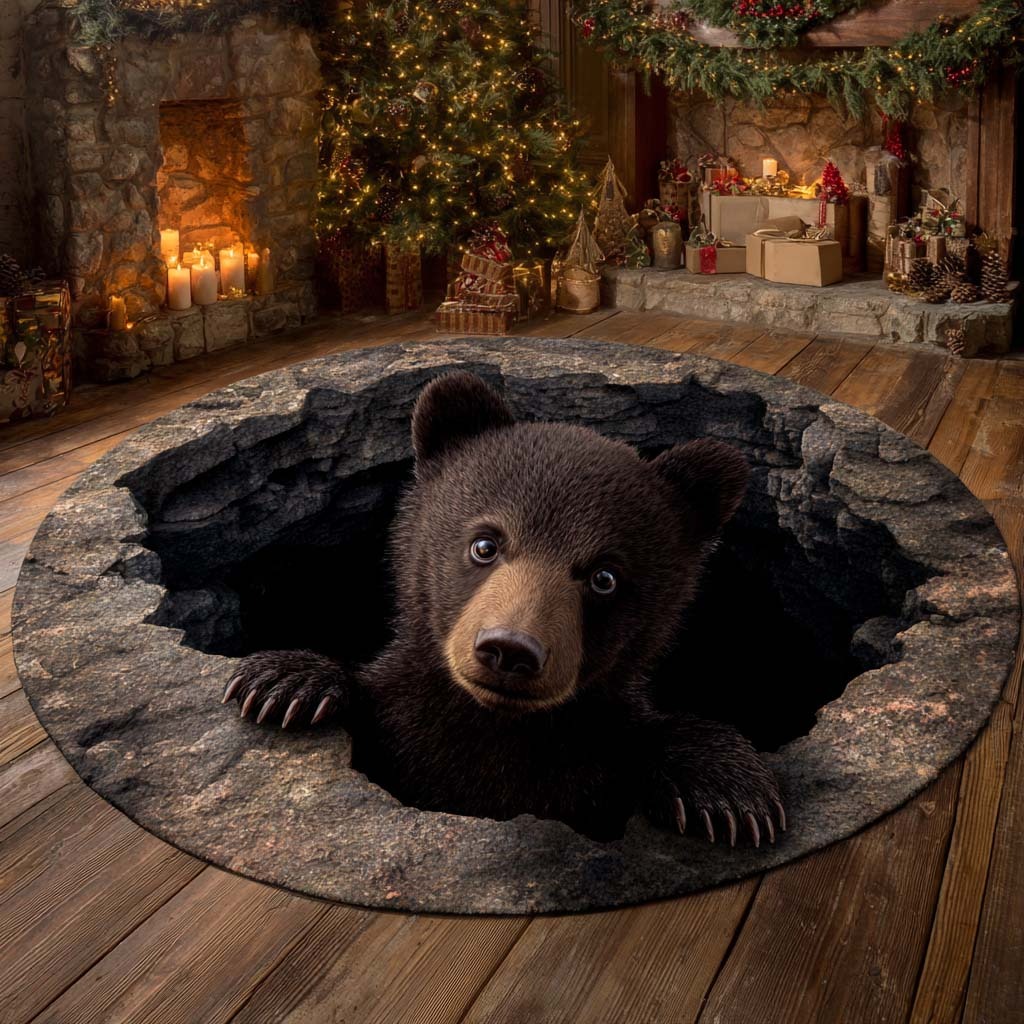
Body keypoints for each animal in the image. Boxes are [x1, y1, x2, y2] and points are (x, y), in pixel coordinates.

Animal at [222, 371, 785, 845]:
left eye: (605, 577)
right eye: (485, 544)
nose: (510, 650)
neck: (497, 725)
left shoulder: (594, 750)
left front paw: (729, 796)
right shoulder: (404, 726)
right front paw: (282, 685)